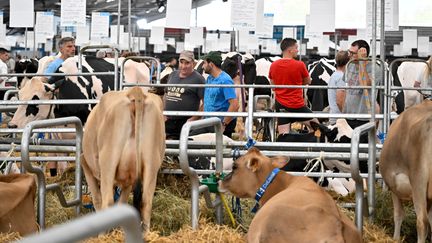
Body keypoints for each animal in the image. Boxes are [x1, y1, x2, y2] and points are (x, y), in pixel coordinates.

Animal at [80, 86, 165, 233]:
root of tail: (135, 91)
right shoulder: (129, 179)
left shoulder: (86, 164)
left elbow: (97, 198)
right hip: (151, 164)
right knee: (146, 202)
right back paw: (146, 233)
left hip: (108, 161)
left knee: (107, 200)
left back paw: (103, 234)